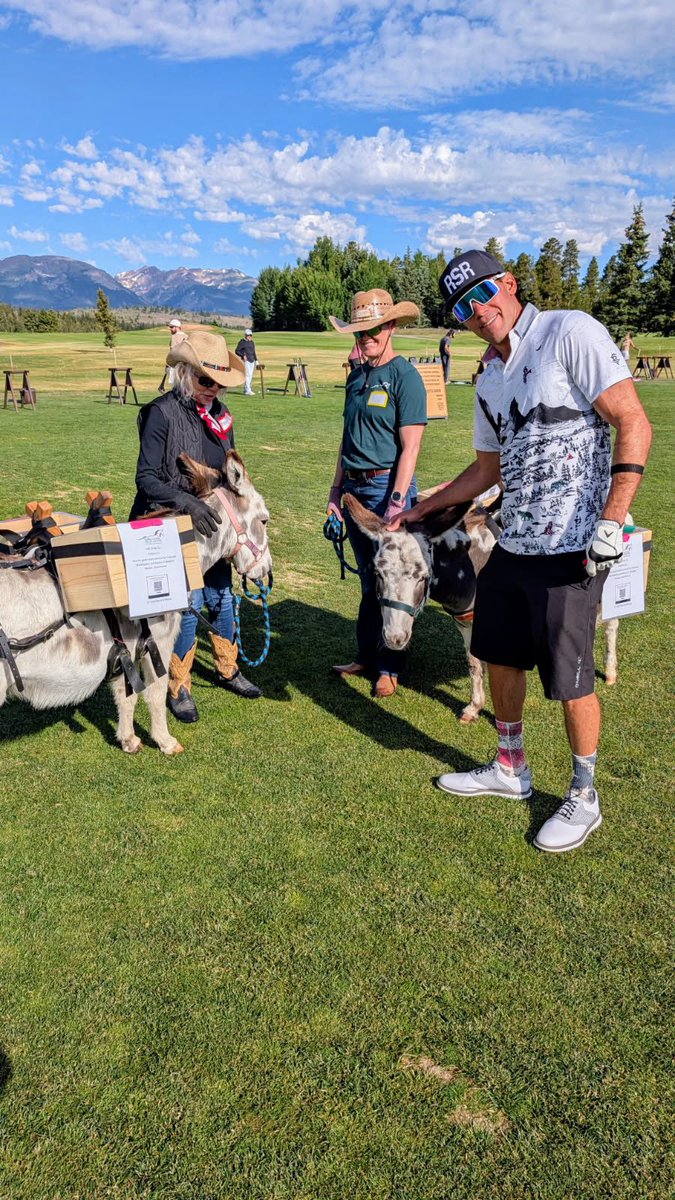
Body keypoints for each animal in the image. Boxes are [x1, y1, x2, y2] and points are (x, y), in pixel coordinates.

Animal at [0, 452, 271, 755]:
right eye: (264, 521)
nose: (266, 571)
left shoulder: (125, 651)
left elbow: (125, 695)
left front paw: (128, 740)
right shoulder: (160, 643)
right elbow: (155, 692)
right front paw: (165, 741)